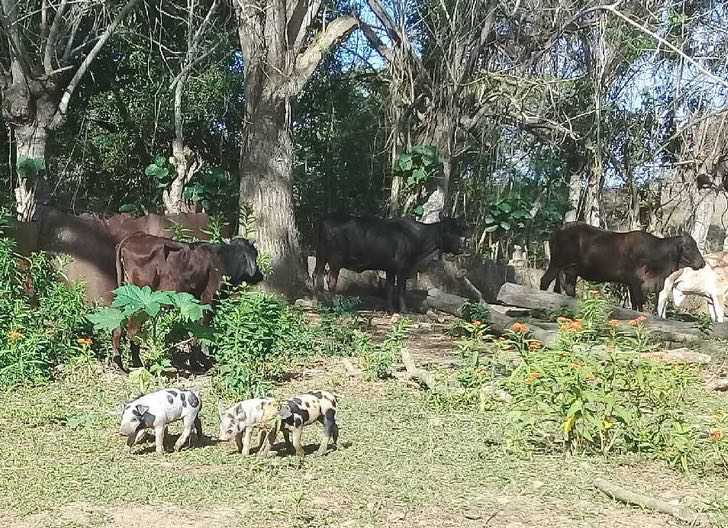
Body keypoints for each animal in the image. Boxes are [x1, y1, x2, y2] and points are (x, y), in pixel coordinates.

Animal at [111, 233, 263, 372]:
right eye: (252, 255)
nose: (259, 274)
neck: (224, 259)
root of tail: (130, 238)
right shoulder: (209, 299)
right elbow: (202, 330)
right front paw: (199, 363)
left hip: (126, 296)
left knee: (118, 327)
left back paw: (121, 364)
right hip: (142, 301)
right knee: (132, 331)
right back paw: (138, 365)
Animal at [313, 214, 467, 313]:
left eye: (460, 230)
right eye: (448, 231)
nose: (462, 247)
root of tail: (325, 221)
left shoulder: (390, 268)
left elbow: (389, 288)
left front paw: (390, 309)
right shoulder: (402, 268)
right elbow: (401, 290)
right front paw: (404, 310)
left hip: (321, 256)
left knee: (316, 276)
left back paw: (317, 302)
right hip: (335, 260)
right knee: (331, 281)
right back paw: (334, 305)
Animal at [540, 223, 705, 312]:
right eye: (689, 247)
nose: (702, 263)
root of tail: (558, 230)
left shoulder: (632, 284)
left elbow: (635, 304)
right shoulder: (637, 282)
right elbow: (639, 303)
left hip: (570, 271)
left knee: (567, 288)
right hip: (557, 263)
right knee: (545, 280)